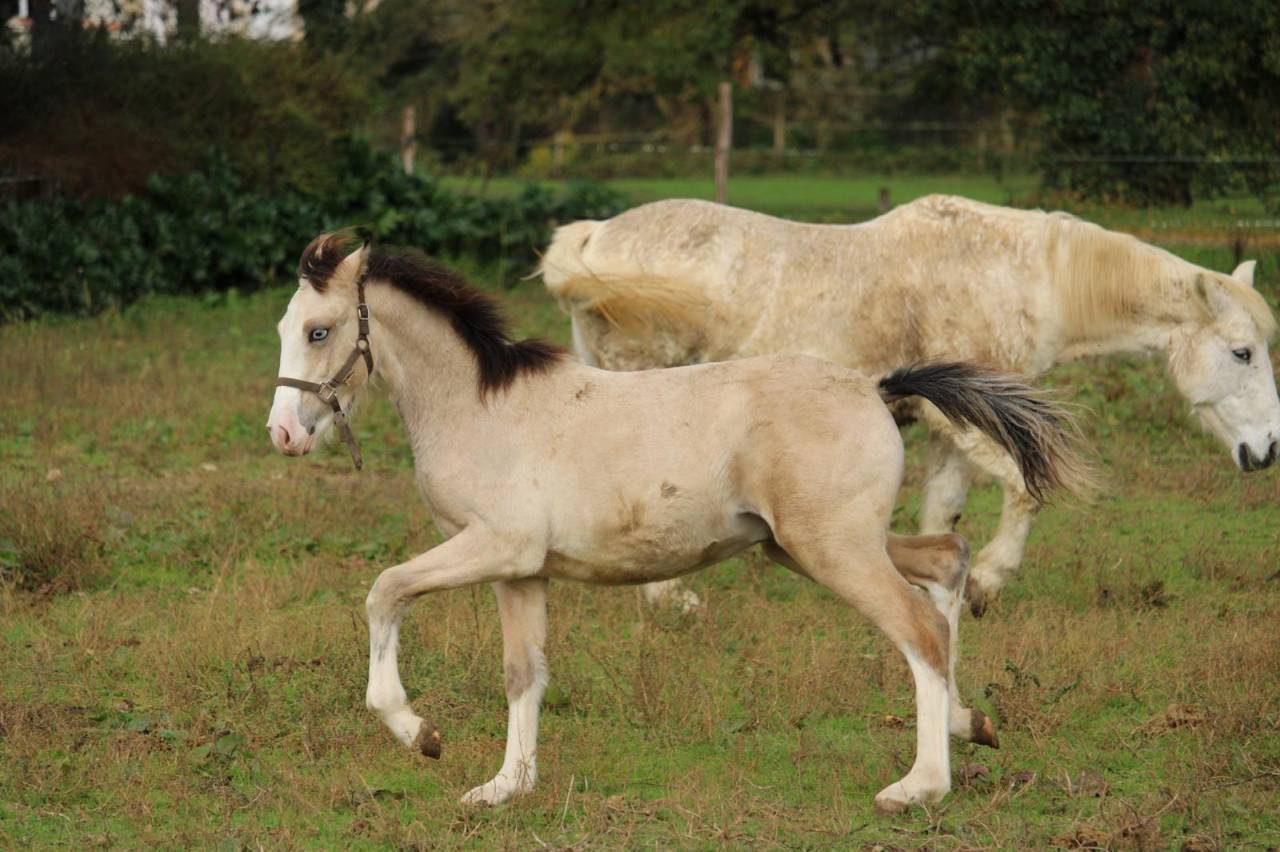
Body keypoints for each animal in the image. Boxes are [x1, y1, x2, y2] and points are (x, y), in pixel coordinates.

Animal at [266, 232, 1087, 813]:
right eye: (284, 327)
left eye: (319, 331)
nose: (284, 435)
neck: (479, 406)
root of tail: (874, 386)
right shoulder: (520, 571)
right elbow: (524, 674)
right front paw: (506, 788)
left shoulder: (493, 547)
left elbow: (383, 592)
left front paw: (421, 736)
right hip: (811, 545)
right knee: (947, 562)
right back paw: (968, 724)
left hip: (832, 550)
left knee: (918, 628)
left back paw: (918, 787)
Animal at [540, 195, 1279, 614]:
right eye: (1243, 352)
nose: (1267, 450)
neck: (1018, 276)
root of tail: (595, 236)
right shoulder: (972, 421)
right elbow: (1027, 492)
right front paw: (986, 584)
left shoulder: (951, 430)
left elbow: (942, 511)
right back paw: (669, 600)